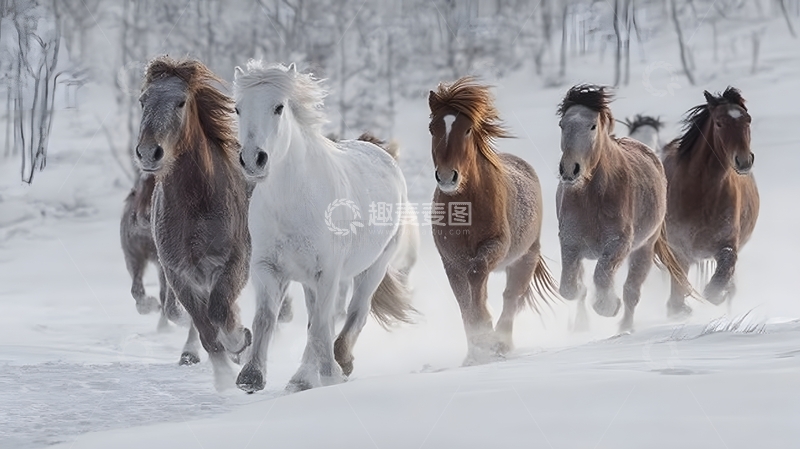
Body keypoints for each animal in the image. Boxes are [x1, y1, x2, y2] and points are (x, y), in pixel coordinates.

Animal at [135, 56, 252, 390]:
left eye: (181, 101)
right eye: (143, 100)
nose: (149, 152)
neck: (196, 204)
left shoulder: (234, 261)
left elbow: (219, 309)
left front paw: (239, 341)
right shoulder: (179, 273)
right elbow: (204, 326)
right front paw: (224, 376)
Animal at [233, 61, 416, 393]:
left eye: (279, 107)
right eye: (237, 108)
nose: (253, 160)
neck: (293, 203)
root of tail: (382, 153)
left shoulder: (327, 272)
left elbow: (320, 326)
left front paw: (331, 374)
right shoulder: (268, 268)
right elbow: (267, 318)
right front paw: (251, 377)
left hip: (374, 266)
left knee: (355, 312)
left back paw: (335, 363)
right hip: (310, 279)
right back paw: (303, 377)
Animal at [428, 77, 559, 363]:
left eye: (467, 129)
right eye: (432, 128)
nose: (447, 176)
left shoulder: (493, 246)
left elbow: (477, 276)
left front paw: (485, 332)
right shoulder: (451, 261)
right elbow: (463, 301)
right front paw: (475, 351)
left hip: (524, 258)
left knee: (511, 297)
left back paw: (501, 343)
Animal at [555, 85, 692, 332]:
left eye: (592, 126)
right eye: (562, 125)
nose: (570, 169)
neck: (592, 198)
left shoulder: (618, 243)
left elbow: (602, 276)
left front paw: (609, 306)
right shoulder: (570, 242)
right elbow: (570, 287)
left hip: (644, 248)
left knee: (632, 291)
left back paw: (625, 328)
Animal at [661, 87, 759, 316]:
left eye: (748, 120)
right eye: (719, 123)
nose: (744, 161)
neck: (700, 191)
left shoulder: (728, 242)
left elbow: (726, 264)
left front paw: (717, 293)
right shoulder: (679, 246)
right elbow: (678, 277)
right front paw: (678, 308)